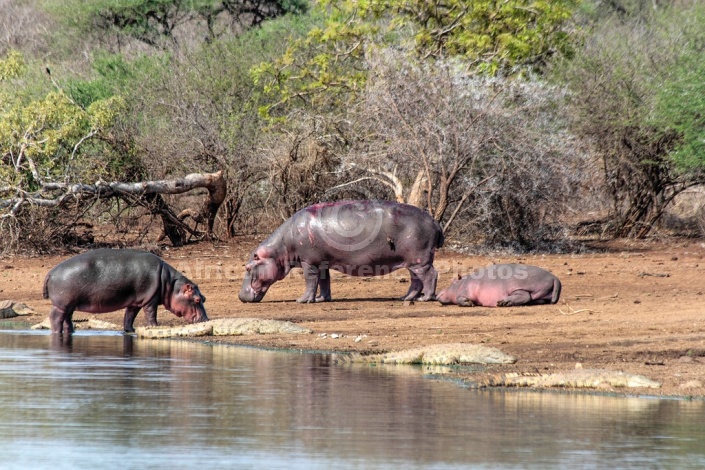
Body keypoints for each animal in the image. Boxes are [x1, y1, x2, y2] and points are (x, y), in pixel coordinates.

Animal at [43, 250, 208, 334]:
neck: (171, 284)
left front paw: (130, 330)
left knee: (67, 318)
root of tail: (50, 273)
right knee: (55, 318)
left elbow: (129, 316)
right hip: (62, 304)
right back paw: (58, 333)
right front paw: (155, 326)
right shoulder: (151, 299)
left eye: (204, 298)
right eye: (197, 300)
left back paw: (70, 331)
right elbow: (150, 313)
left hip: (69, 304)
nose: (207, 320)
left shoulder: (136, 301)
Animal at [239, 199, 442, 302]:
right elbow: (324, 281)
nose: (240, 296)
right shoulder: (322, 263)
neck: (281, 248)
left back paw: (426, 298)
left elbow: (310, 281)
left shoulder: (309, 262)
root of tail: (434, 221)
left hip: (420, 259)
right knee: (416, 280)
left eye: (248, 268)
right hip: (412, 261)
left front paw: (302, 300)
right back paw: (405, 298)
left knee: (430, 275)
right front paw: (322, 299)